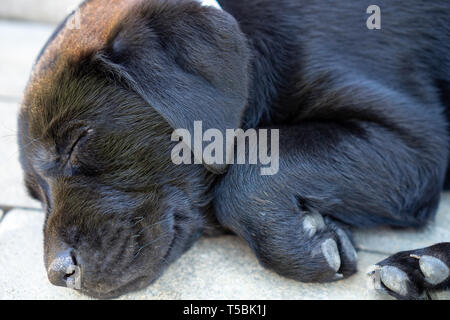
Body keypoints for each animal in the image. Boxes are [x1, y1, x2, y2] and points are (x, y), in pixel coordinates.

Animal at [17, 0, 450, 300]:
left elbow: (250, 168)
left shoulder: (415, 143)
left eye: (76, 142)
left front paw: (308, 243)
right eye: (35, 194)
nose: (58, 274)